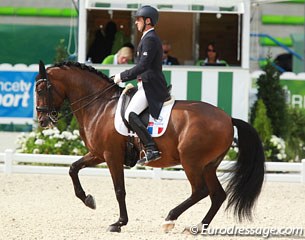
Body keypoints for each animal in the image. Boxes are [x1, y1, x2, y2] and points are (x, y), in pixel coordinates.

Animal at [35, 61, 264, 233]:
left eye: (41, 89)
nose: (42, 120)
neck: (100, 105)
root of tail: (228, 118)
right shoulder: (97, 154)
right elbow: (73, 168)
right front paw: (89, 200)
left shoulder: (111, 155)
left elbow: (119, 190)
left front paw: (119, 223)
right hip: (208, 165)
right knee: (217, 195)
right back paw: (198, 227)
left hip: (191, 161)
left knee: (200, 191)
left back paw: (170, 219)